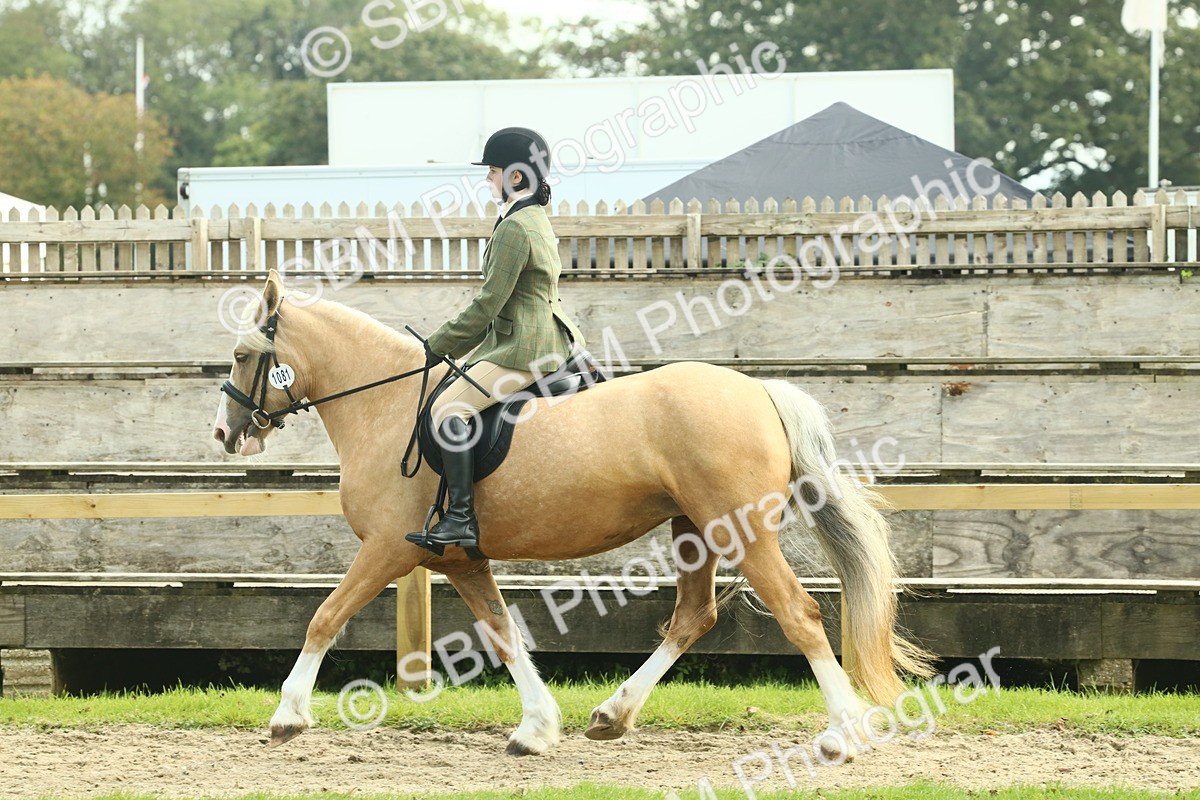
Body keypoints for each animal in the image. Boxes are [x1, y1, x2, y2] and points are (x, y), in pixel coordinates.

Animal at [211, 269, 933, 758]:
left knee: (800, 614)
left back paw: (843, 734)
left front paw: (288, 715)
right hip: (696, 531)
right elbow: (503, 633)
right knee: (692, 617)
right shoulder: (460, 558)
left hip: (745, 534)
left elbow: (324, 617)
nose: (224, 433)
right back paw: (613, 714)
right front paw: (536, 729)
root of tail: (760, 389)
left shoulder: (389, 548)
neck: (387, 405)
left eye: (245, 356)